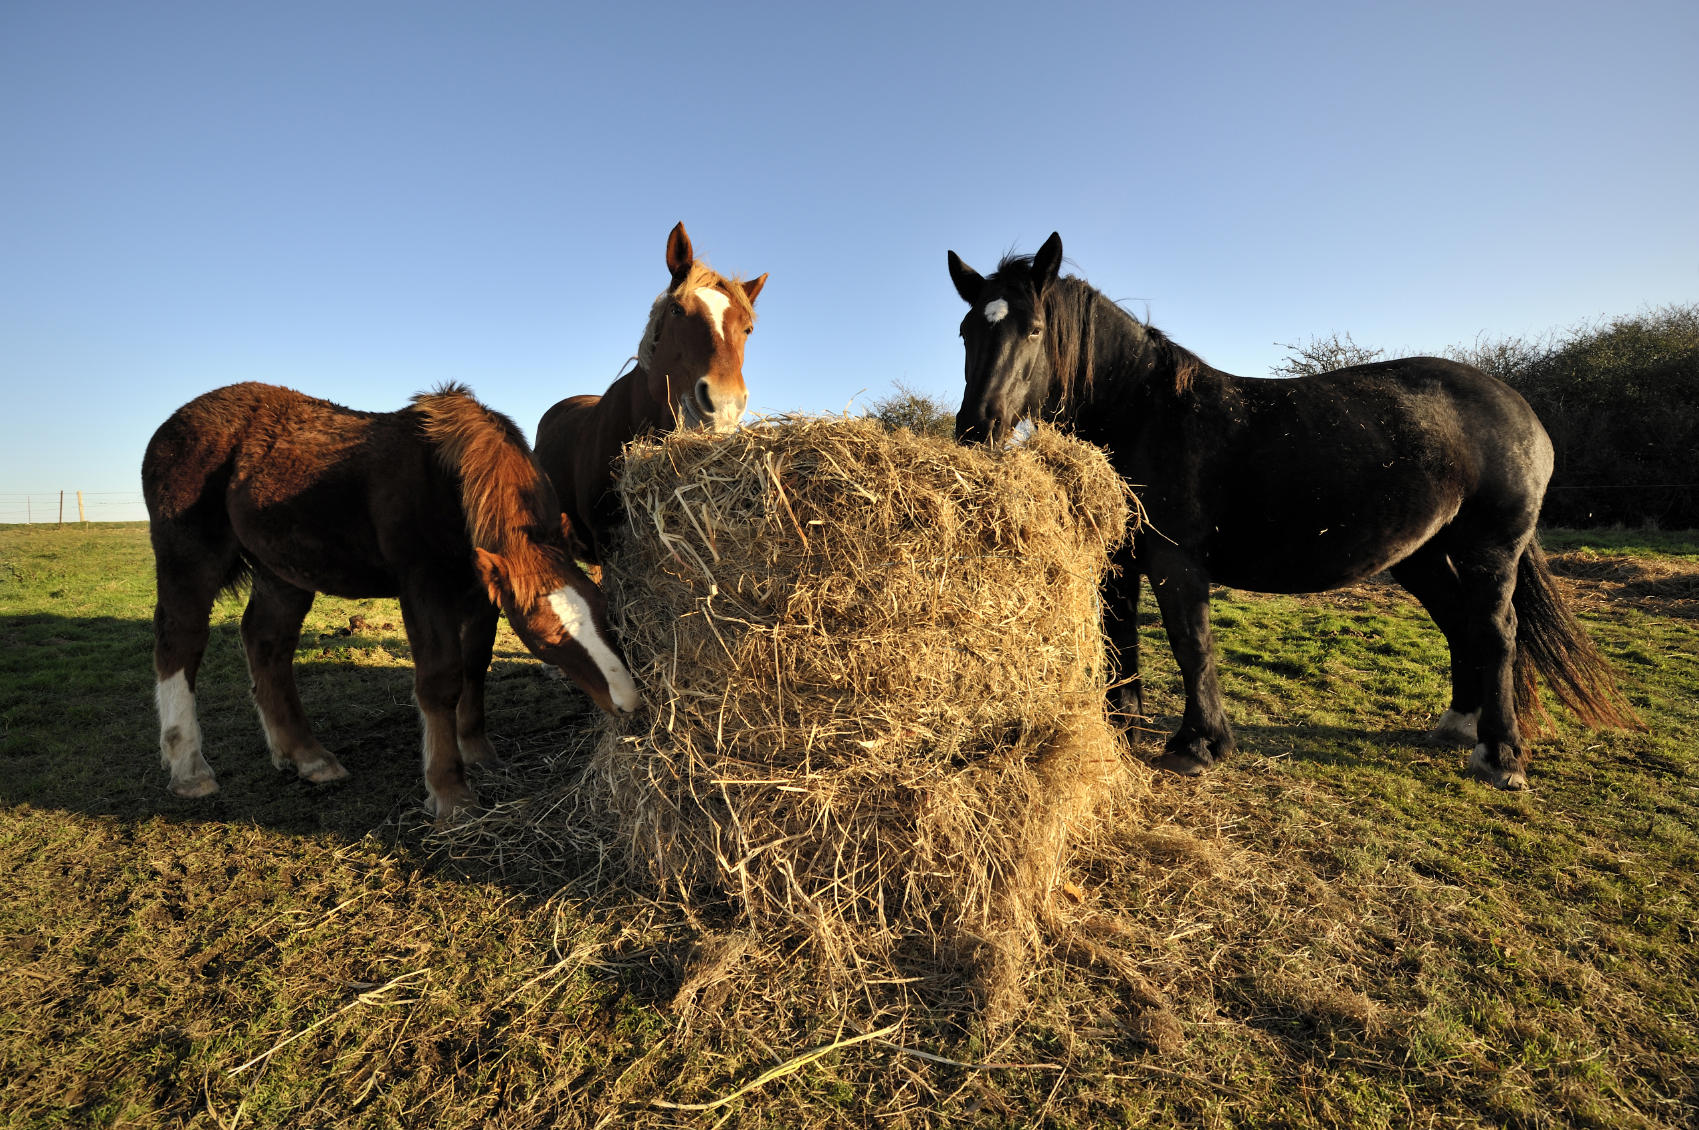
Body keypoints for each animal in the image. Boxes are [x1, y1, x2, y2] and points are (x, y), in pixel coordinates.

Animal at [142, 381, 640, 825]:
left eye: (605, 611)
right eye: (545, 636)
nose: (629, 702)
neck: (445, 480)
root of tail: (172, 423)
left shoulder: (481, 594)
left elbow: (475, 667)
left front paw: (478, 752)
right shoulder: (423, 587)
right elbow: (440, 682)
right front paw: (450, 793)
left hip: (282, 573)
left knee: (267, 644)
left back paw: (307, 757)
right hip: (190, 558)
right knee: (180, 641)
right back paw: (189, 767)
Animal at [948, 232, 1636, 789]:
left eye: (1035, 330)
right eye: (967, 331)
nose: (978, 429)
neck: (1145, 411)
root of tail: (1521, 410)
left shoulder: (1176, 562)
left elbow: (1191, 644)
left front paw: (1198, 745)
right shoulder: (1120, 564)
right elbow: (1121, 647)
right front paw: (1122, 735)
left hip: (1489, 550)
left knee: (1497, 634)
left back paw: (1501, 758)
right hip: (1423, 556)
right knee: (1461, 625)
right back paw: (1456, 727)